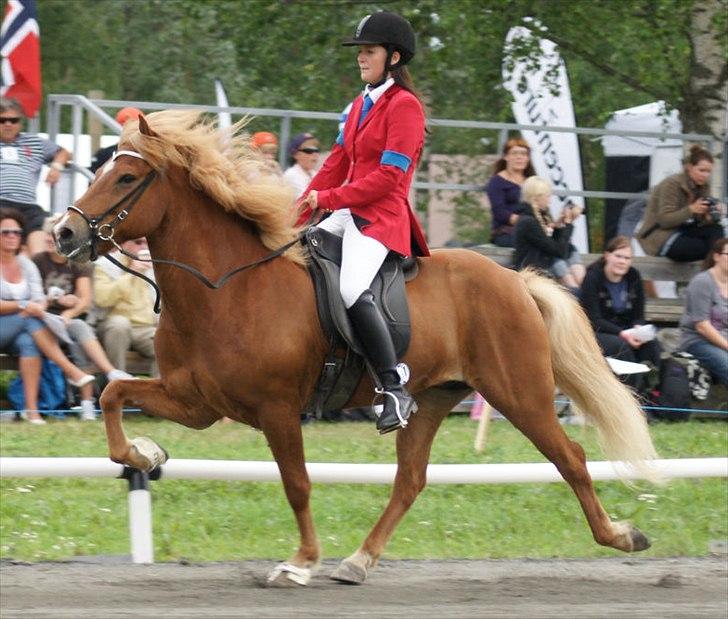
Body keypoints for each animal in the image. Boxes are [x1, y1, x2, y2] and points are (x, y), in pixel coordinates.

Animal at [55, 109, 660, 588]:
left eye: (126, 176)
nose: (64, 234)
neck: (225, 288)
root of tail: (514, 279)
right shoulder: (197, 402)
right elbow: (111, 393)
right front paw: (145, 455)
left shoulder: (277, 410)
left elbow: (297, 484)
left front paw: (300, 562)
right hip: (433, 397)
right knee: (411, 480)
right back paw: (360, 560)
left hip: (520, 392)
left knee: (570, 457)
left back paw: (621, 535)